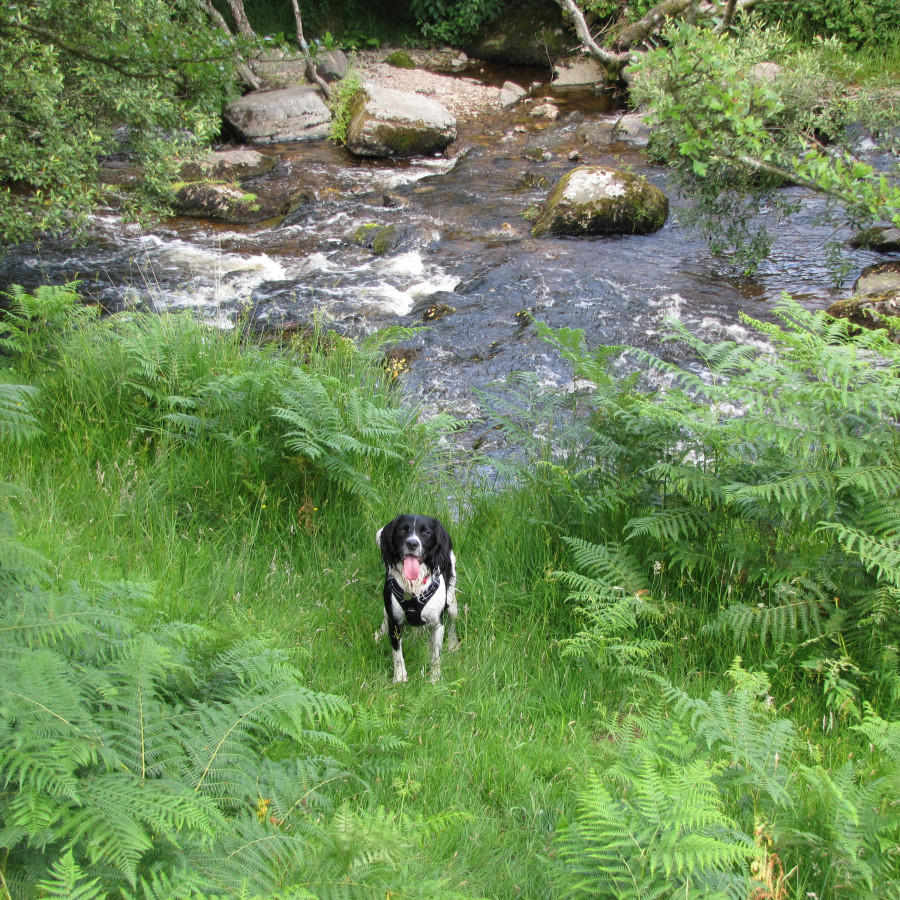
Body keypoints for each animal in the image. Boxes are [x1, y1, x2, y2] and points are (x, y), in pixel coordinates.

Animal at [372, 512, 458, 684]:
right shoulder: (395, 621)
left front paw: (434, 679)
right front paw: (400, 678)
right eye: (402, 530)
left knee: (452, 622)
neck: (413, 586)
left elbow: (436, 655)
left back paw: (452, 643)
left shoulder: (437, 623)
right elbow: (398, 654)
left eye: (426, 532)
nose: (412, 543)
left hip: (451, 603)